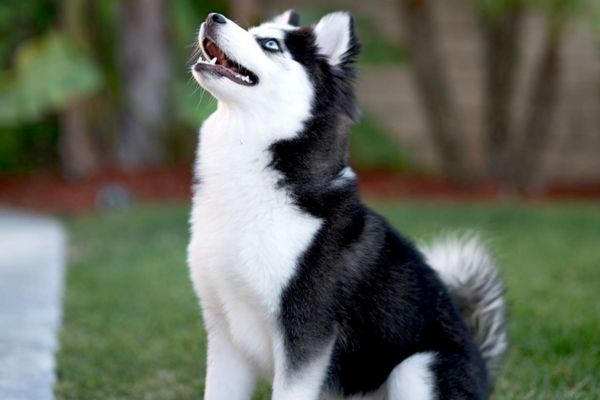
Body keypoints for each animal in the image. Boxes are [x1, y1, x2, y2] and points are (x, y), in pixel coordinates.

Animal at [189, 10, 506, 400]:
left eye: (271, 44)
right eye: (252, 31)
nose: (212, 16)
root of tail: (484, 376)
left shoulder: (306, 332)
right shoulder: (225, 332)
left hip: (417, 368)